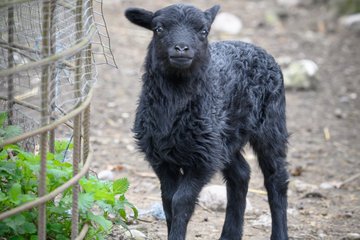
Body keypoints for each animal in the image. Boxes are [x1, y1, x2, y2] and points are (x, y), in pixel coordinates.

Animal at [125, 4, 288, 240]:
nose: (181, 48)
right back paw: (230, 235)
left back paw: (279, 233)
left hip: (271, 121)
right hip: (224, 137)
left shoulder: (203, 160)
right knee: (241, 174)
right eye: (158, 28)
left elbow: (181, 201)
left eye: (204, 31)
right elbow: (168, 201)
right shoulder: (161, 157)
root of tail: (254, 47)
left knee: (276, 179)